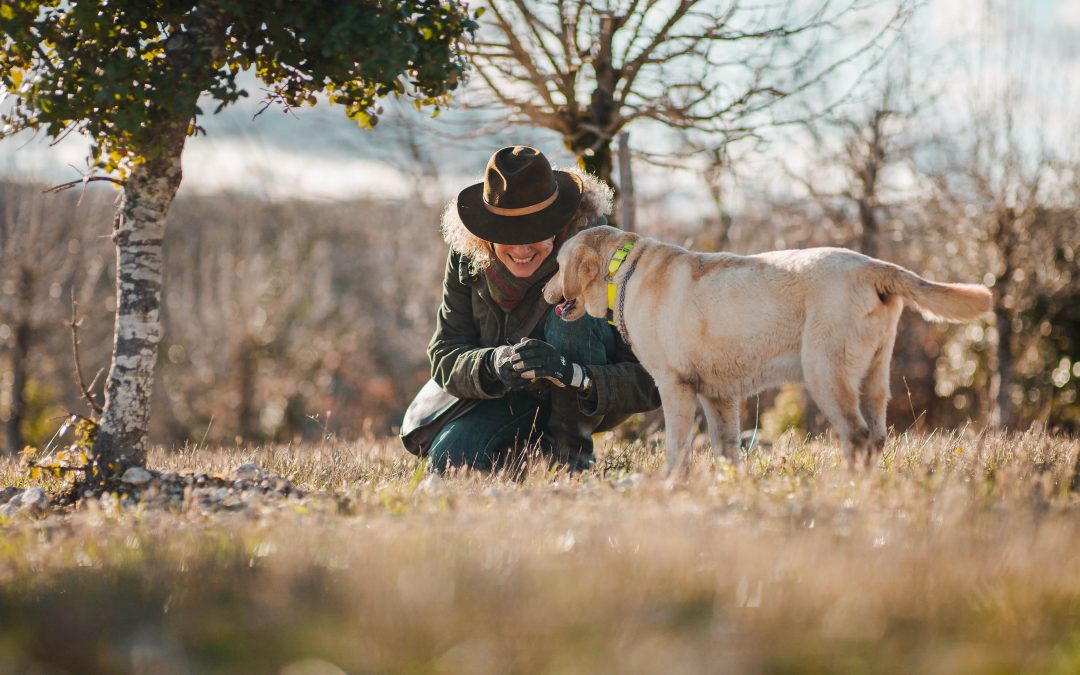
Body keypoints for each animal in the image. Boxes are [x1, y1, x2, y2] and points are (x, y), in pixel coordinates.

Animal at [544, 226, 989, 473]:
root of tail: (872, 266)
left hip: (825, 372)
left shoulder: (675, 386)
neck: (623, 269)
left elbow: (677, 447)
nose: (546, 291)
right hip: (874, 377)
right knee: (877, 437)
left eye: (558, 265)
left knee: (857, 436)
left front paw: (672, 484)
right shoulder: (719, 396)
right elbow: (727, 450)